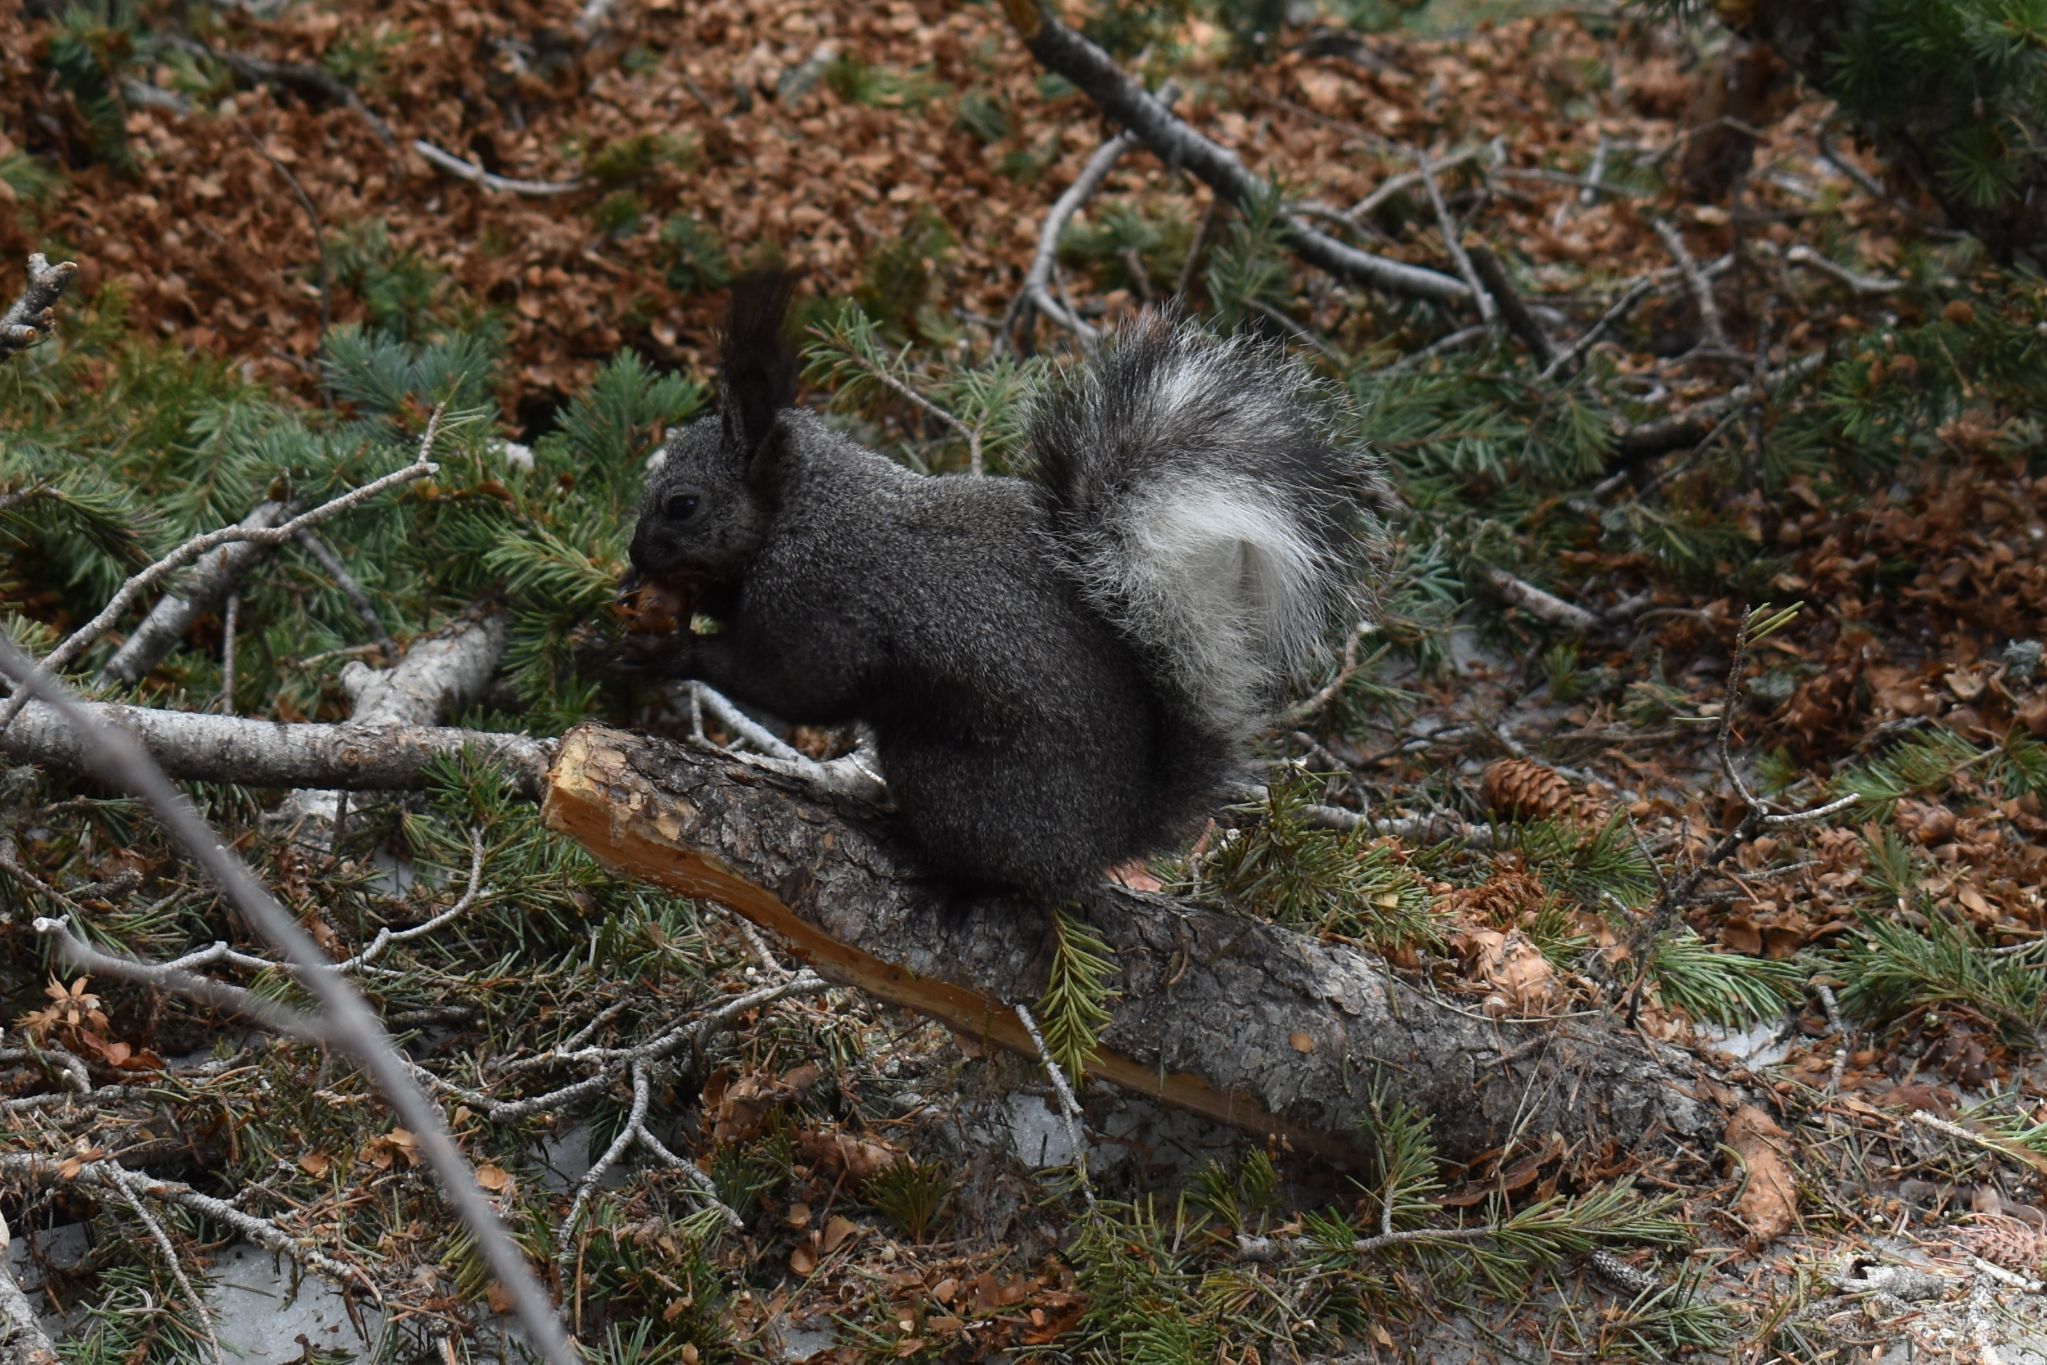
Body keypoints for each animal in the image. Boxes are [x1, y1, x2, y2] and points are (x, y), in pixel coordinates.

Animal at [622, 276, 1391, 896]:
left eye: (682, 504)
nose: (630, 556)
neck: (805, 507)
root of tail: (1112, 834)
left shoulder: (820, 598)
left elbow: (797, 684)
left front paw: (667, 652)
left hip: (944, 773)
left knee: (993, 870)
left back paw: (925, 859)